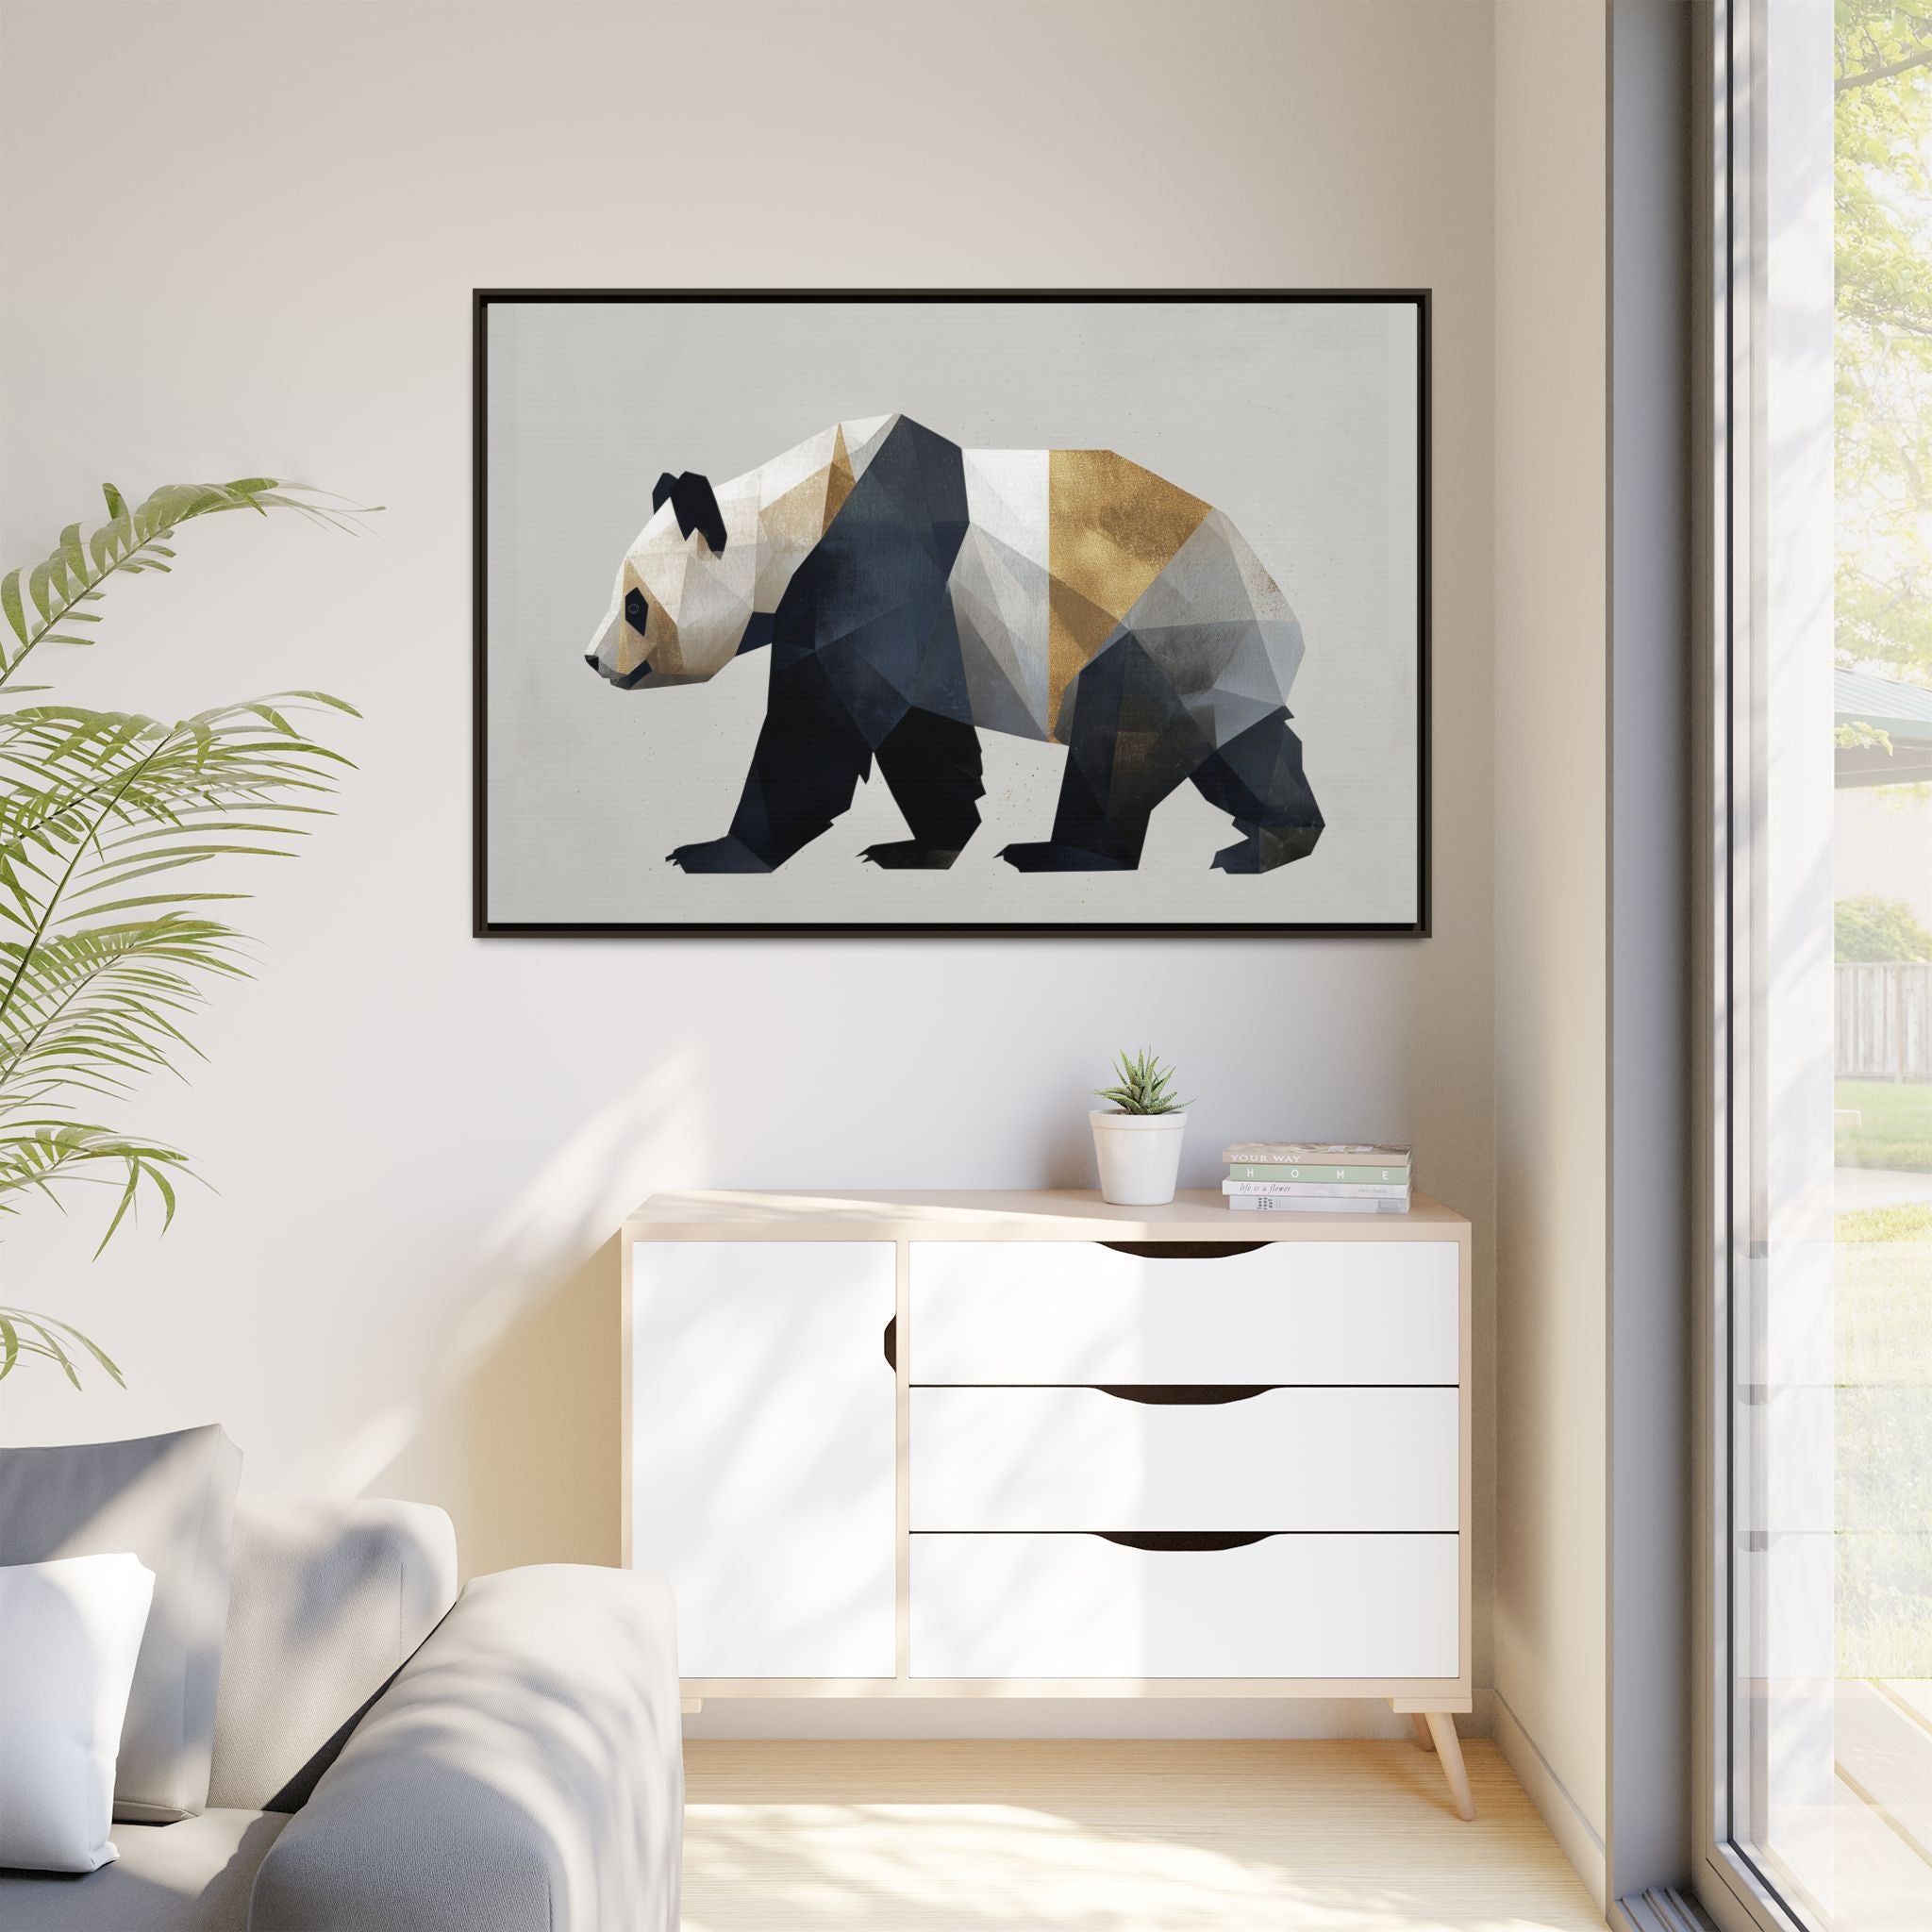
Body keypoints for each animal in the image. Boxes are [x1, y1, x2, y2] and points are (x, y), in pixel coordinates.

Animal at [584, 413, 1323, 875]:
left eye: (635, 604)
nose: (592, 660)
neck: (797, 507)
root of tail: (1278, 607)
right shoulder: (929, 625)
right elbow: (920, 733)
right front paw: (928, 844)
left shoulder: (872, 568)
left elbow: (820, 725)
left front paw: (718, 851)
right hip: (1216, 662)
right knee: (1245, 744)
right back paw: (1271, 837)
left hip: (1155, 633)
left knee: (1119, 743)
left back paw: (1061, 854)